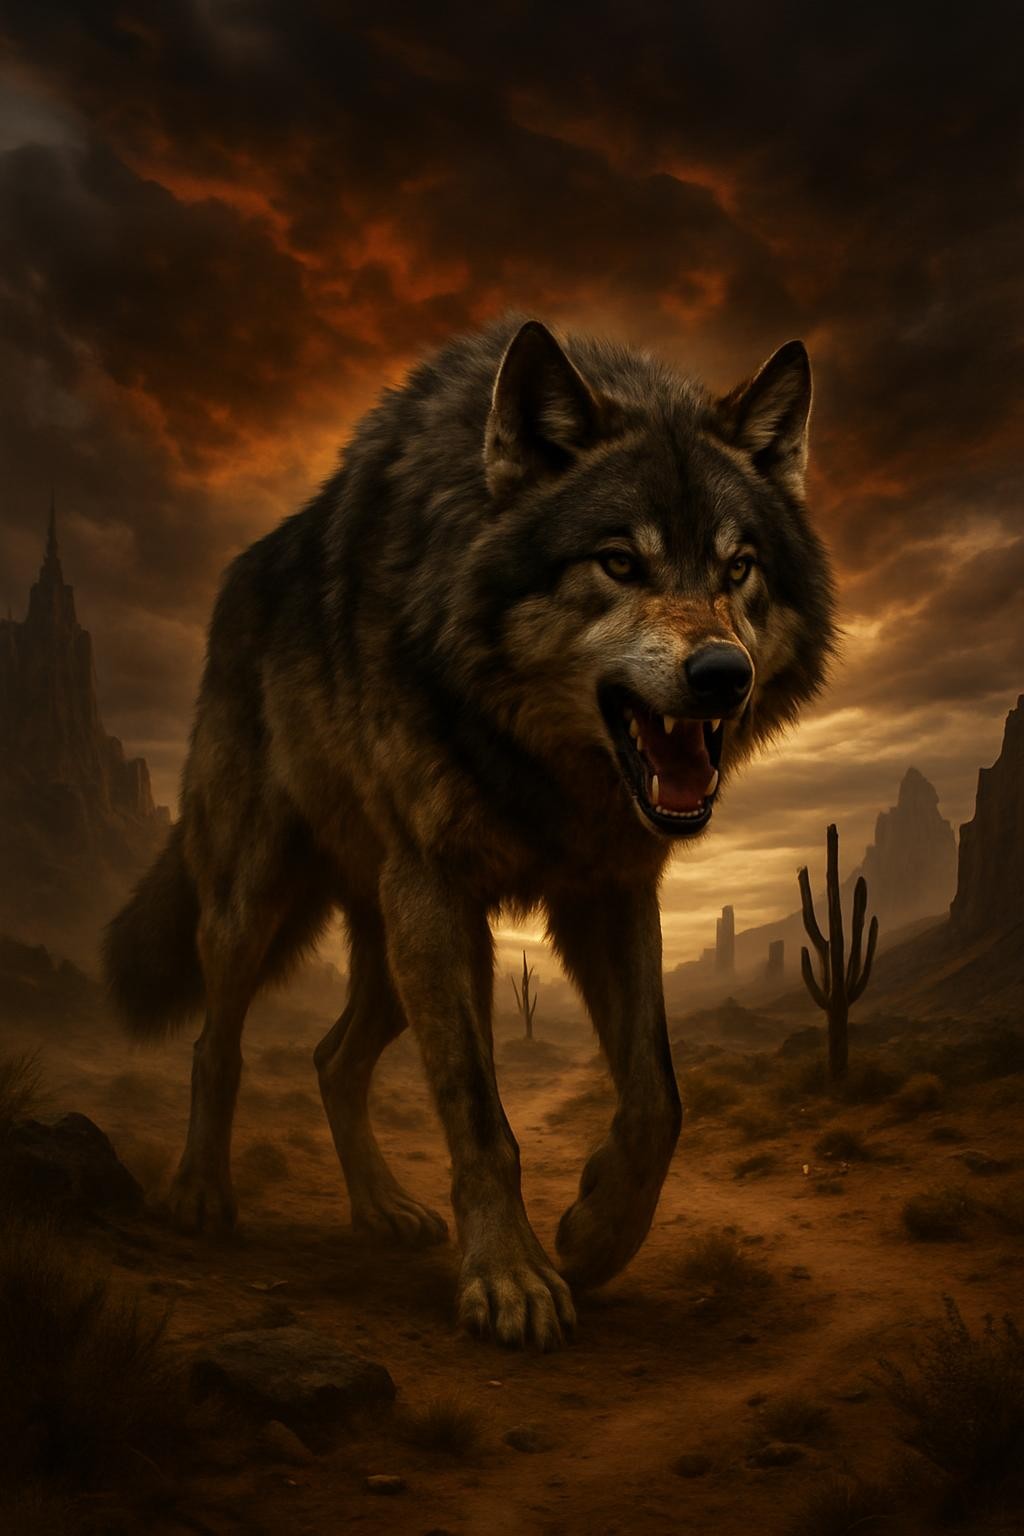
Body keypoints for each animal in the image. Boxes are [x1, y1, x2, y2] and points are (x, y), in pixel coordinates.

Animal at [104, 315, 835, 1349]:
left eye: (740, 567)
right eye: (619, 561)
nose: (722, 676)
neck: (535, 760)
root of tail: (239, 574)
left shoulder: (610, 893)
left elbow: (658, 1097)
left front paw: (595, 1233)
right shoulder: (440, 891)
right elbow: (480, 1116)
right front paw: (510, 1279)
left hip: (388, 949)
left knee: (332, 1060)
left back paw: (381, 1210)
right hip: (265, 905)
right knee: (219, 1044)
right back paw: (202, 1195)